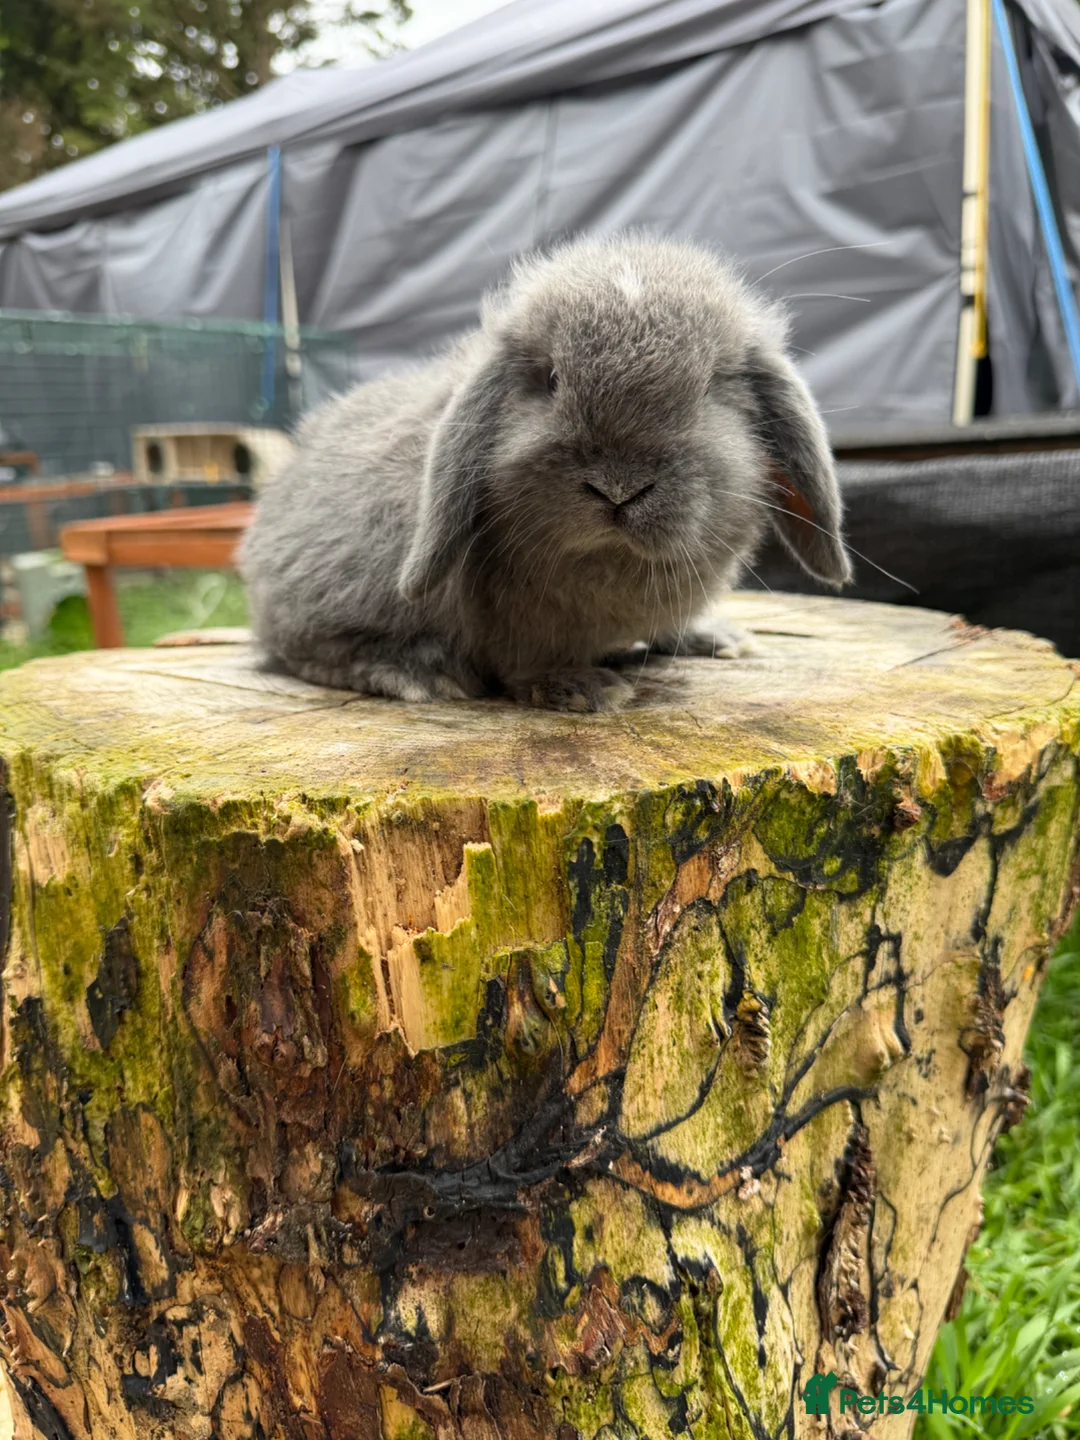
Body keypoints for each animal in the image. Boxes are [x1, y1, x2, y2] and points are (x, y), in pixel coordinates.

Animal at [239, 233, 852, 712]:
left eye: (710, 388)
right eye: (551, 378)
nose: (618, 488)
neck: (609, 561)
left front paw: (712, 638)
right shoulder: (511, 626)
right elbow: (525, 663)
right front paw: (584, 690)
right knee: (304, 652)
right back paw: (420, 673)